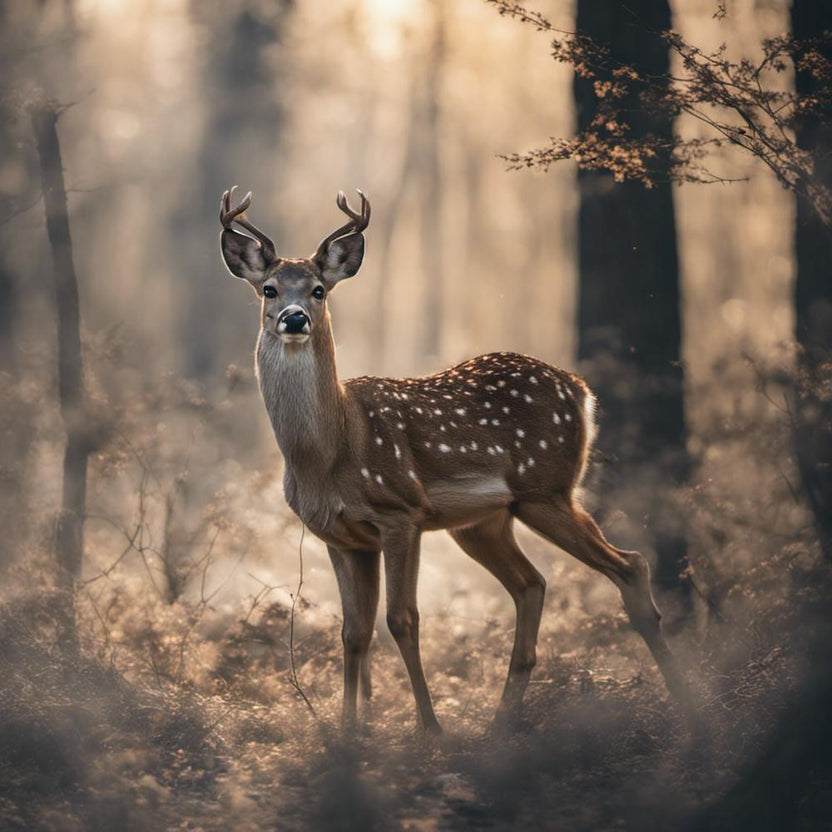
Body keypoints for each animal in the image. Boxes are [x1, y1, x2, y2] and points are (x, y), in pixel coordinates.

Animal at [219, 187, 691, 733]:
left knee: (629, 565)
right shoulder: (339, 536)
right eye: (269, 289)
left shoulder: (401, 512)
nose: (294, 318)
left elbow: (402, 620)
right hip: (485, 522)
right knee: (532, 584)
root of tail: (581, 392)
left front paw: (429, 730)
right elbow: (353, 632)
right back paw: (499, 726)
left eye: (319, 290)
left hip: (546, 488)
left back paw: (691, 708)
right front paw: (349, 733)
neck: (332, 451)